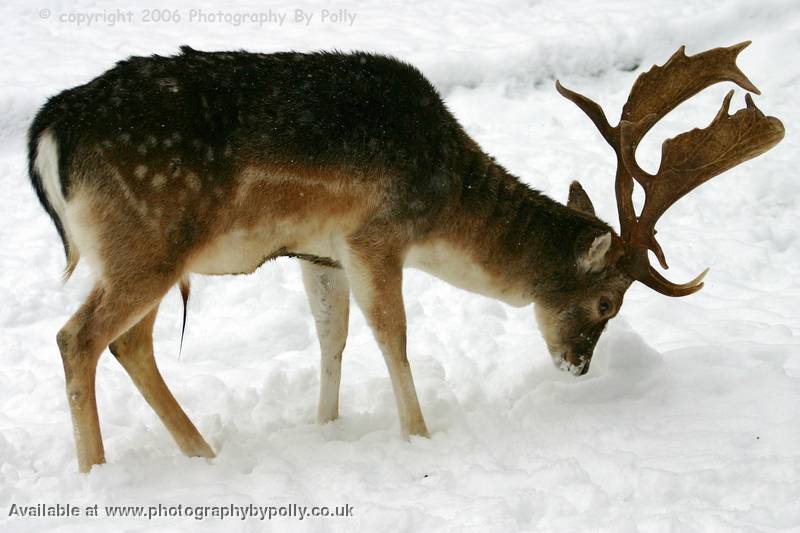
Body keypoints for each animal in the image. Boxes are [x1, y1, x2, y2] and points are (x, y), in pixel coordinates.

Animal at [29, 43, 780, 472]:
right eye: (607, 302)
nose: (578, 366)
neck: (442, 200)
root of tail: (47, 135)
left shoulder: (319, 252)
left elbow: (331, 337)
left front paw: (327, 428)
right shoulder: (375, 235)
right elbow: (393, 334)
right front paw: (419, 437)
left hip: (145, 255)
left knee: (130, 344)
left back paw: (201, 454)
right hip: (148, 242)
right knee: (78, 337)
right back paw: (96, 475)